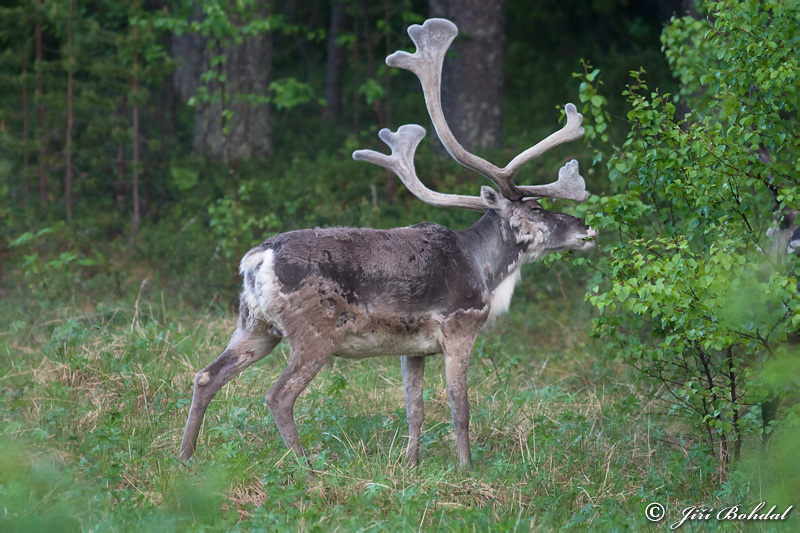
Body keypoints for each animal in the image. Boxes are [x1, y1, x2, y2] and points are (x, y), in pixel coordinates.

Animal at [179, 18, 598, 469]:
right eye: (536, 207)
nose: (587, 228)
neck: (485, 270)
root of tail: (257, 259)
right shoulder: (460, 327)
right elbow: (460, 406)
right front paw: (466, 468)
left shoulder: (412, 348)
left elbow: (415, 408)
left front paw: (411, 465)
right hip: (313, 332)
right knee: (279, 395)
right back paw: (307, 468)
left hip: (254, 325)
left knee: (206, 375)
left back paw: (185, 458)